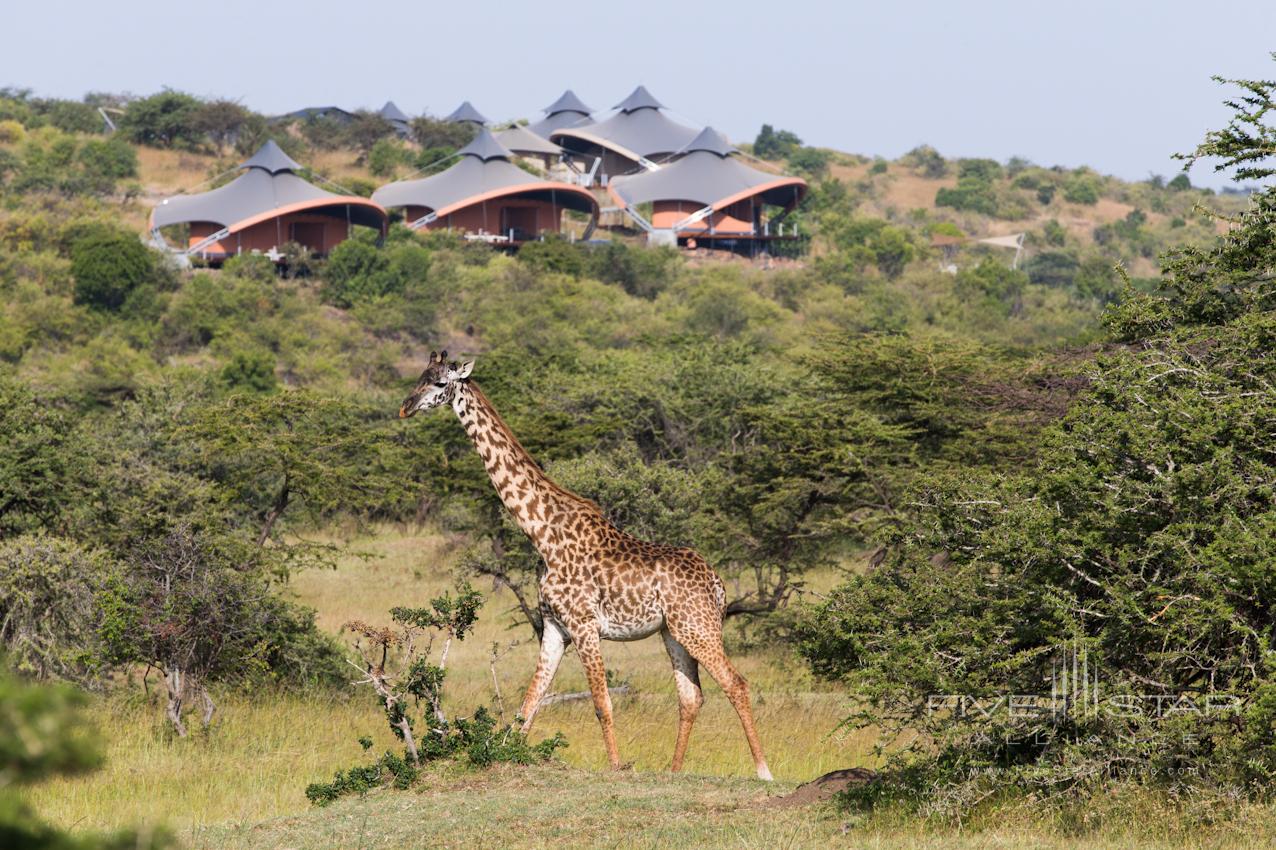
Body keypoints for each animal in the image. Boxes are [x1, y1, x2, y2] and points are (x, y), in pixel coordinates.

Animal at [400, 347, 775, 775]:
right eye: (418, 377)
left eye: (439, 382)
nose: (406, 407)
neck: (542, 534)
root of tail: (717, 583)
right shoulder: (554, 627)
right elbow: (528, 705)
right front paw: (506, 755)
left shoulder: (584, 624)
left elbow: (601, 704)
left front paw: (615, 767)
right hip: (673, 631)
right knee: (691, 696)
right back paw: (674, 771)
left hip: (699, 626)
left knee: (736, 683)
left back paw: (763, 771)